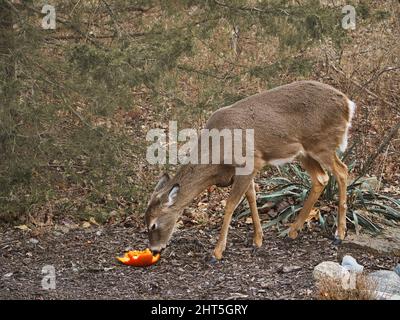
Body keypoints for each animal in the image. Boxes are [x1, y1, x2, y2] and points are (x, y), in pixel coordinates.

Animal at [145, 80, 356, 260]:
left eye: (153, 225)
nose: (154, 249)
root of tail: (348, 103)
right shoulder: (245, 169)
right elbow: (252, 197)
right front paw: (258, 240)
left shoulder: (249, 162)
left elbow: (231, 204)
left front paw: (217, 252)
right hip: (304, 152)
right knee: (321, 178)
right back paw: (292, 231)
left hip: (322, 145)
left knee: (342, 171)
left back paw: (339, 234)